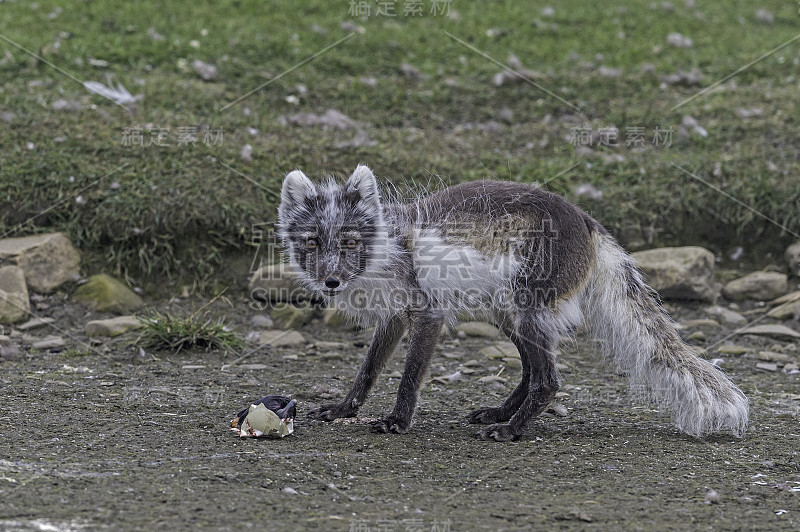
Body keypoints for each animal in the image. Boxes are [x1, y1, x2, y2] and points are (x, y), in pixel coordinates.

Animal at [276, 165, 752, 440]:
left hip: (526, 306)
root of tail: (587, 219)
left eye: (351, 241)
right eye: (313, 242)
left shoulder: (428, 311)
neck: (387, 252)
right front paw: (343, 409)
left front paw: (398, 422)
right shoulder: (394, 316)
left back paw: (512, 429)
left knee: (550, 380)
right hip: (507, 313)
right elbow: (369, 370)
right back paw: (500, 413)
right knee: (530, 370)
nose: (331, 281)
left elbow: (409, 376)